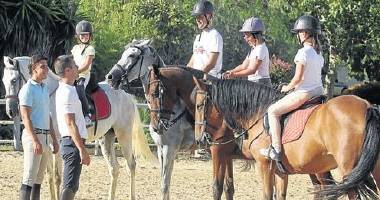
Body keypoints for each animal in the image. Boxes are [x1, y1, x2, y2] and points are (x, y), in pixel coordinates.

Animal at [2, 55, 154, 200]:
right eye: (4, 80)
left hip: (124, 135)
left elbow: (57, 177)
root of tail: (126, 95)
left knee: (131, 165)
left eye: (14, 80)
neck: (51, 96)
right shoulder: (49, 145)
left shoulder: (58, 144)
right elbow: (50, 176)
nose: (10, 111)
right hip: (106, 138)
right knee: (114, 168)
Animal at [107, 39, 196, 200]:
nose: (110, 77)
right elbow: (166, 183)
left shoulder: (169, 149)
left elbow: (164, 186)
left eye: (132, 55)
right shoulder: (162, 149)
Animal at [193, 78, 380, 200]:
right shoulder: (280, 171)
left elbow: (262, 194)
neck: (258, 113)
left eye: (199, 106)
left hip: (347, 169)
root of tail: (367, 106)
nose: (200, 139)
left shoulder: (262, 164)